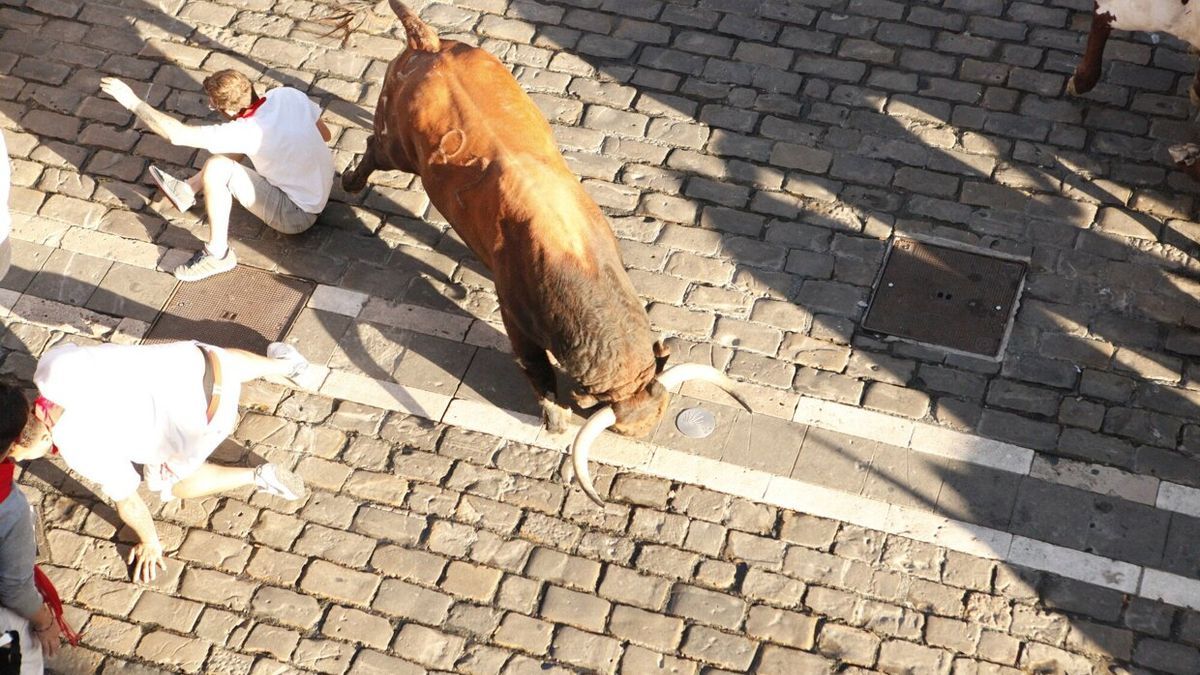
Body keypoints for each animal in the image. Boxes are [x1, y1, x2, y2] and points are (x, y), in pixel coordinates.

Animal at [343, 1, 744, 504]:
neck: (578, 267)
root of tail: (429, 45)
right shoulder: (517, 319)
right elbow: (535, 367)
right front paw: (554, 419)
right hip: (396, 145)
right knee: (373, 149)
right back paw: (348, 183)